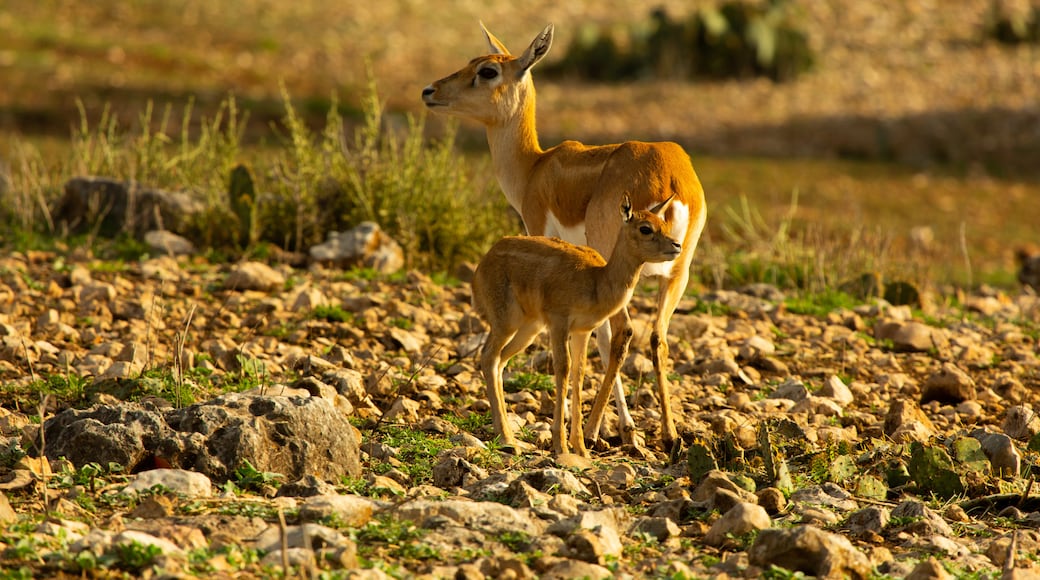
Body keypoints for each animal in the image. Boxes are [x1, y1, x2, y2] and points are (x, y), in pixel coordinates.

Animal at [474, 196, 682, 459]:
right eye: (645, 228)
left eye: (663, 224)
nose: (677, 245)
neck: (596, 281)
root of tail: (484, 261)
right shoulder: (559, 321)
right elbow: (563, 368)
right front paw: (561, 445)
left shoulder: (582, 330)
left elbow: (579, 372)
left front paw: (581, 448)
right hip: (505, 322)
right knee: (488, 357)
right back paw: (507, 439)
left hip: (528, 328)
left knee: (500, 362)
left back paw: (510, 436)